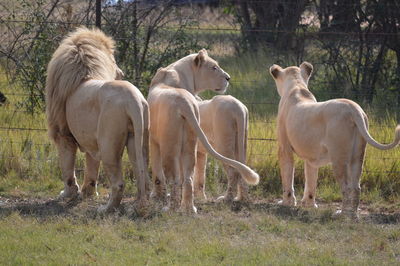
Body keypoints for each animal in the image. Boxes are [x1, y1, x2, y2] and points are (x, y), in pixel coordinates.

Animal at [45, 27, 151, 214]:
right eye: (114, 59)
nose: (121, 72)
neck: (84, 73)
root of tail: (133, 100)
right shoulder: (90, 140)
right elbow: (92, 166)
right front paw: (88, 192)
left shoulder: (62, 132)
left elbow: (67, 166)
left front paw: (68, 193)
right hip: (138, 138)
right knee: (142, 175)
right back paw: (137, 204)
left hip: (108, 144)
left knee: (118, 184)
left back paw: (105, 209)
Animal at [148, 48, 260, 213]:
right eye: (214, 67)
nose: (228, 78)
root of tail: (239, 108)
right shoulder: (199, 151)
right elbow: (200, 175)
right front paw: (200, 197)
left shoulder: (154, 140)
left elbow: (157, 173)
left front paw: (157, 196)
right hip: (238, 143)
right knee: (192, 176)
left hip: (210, 144)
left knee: (230, 172)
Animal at [268, 61, 400, 217]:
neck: (296, 85)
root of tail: (353, 109)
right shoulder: (311, 157)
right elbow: (311, 179)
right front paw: (309, 204)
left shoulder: (284, 148)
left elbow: (287, 176)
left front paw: (286, 202)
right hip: (357, 157)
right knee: (356, 187)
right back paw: (353, 214)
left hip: (338, 158)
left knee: (346, 187)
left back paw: (342, 214)